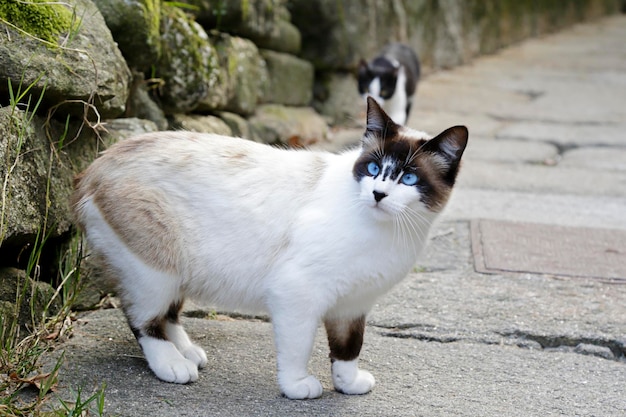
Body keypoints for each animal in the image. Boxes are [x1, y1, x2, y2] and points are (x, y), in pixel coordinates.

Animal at [70, 97, 466, 400]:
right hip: (155, 270)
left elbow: (349, 348)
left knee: (168, 314)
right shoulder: (298, 292)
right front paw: (297, 387)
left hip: (179, 272)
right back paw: (172, 364)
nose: (378, 194)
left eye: (409, 178)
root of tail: (93, 166)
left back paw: (187, 352)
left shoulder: (353, 304)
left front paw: (348, 384)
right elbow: (298, 347)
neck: (388, 232)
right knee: (143, 318)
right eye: (372, 168)